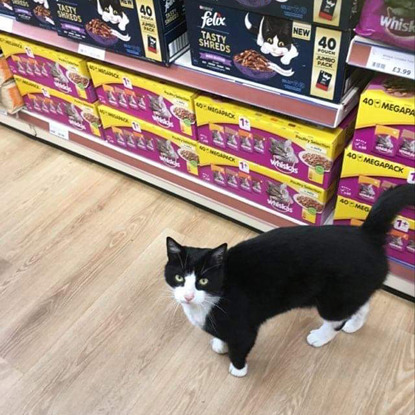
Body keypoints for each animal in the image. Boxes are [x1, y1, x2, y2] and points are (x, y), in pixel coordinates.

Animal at [166, 185, 415, 376]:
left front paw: (237, 369)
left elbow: (241, 347)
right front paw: (220, 344)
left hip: (334, 298)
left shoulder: (244, 327)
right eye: (179, 277)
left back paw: (321, 337)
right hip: (351, 291)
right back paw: (354, 325)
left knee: (336, 320)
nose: (188, 296)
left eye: (204, 281)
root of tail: (367, 234)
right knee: (361, 305)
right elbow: (221, 336)